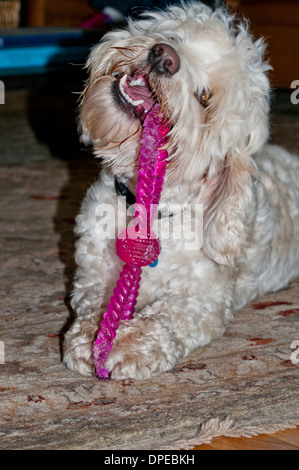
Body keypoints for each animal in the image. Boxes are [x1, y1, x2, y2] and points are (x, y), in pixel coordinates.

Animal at [63, 1, 299, 380]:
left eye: (205, 98)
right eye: (175, 37)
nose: (164, 57)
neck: (148, 208)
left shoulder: (204, 299)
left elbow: (166, 317)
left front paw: (127, 343)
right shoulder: (93, 272)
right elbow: (93, 301)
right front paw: (92, 335)